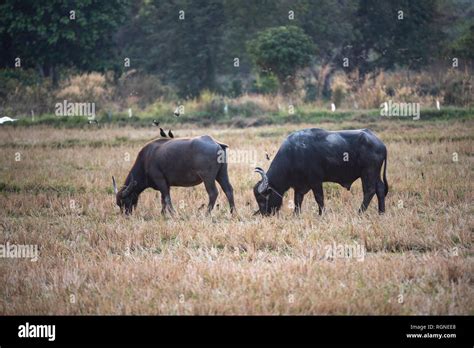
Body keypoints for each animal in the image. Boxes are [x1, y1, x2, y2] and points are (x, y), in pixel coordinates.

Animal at [254, 128, 386, 215]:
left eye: (261, 199)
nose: (264, 214)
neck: (294, 154)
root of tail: (381, 144)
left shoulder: (316, 181)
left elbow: (319, 198)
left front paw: (321, 214)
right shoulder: (299, 185)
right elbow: (297, 200)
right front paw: (296, 214)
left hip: (368, 172)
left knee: (369, 191)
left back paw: (360, 212)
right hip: (375, 174)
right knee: (380, 189)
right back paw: (381, 212)